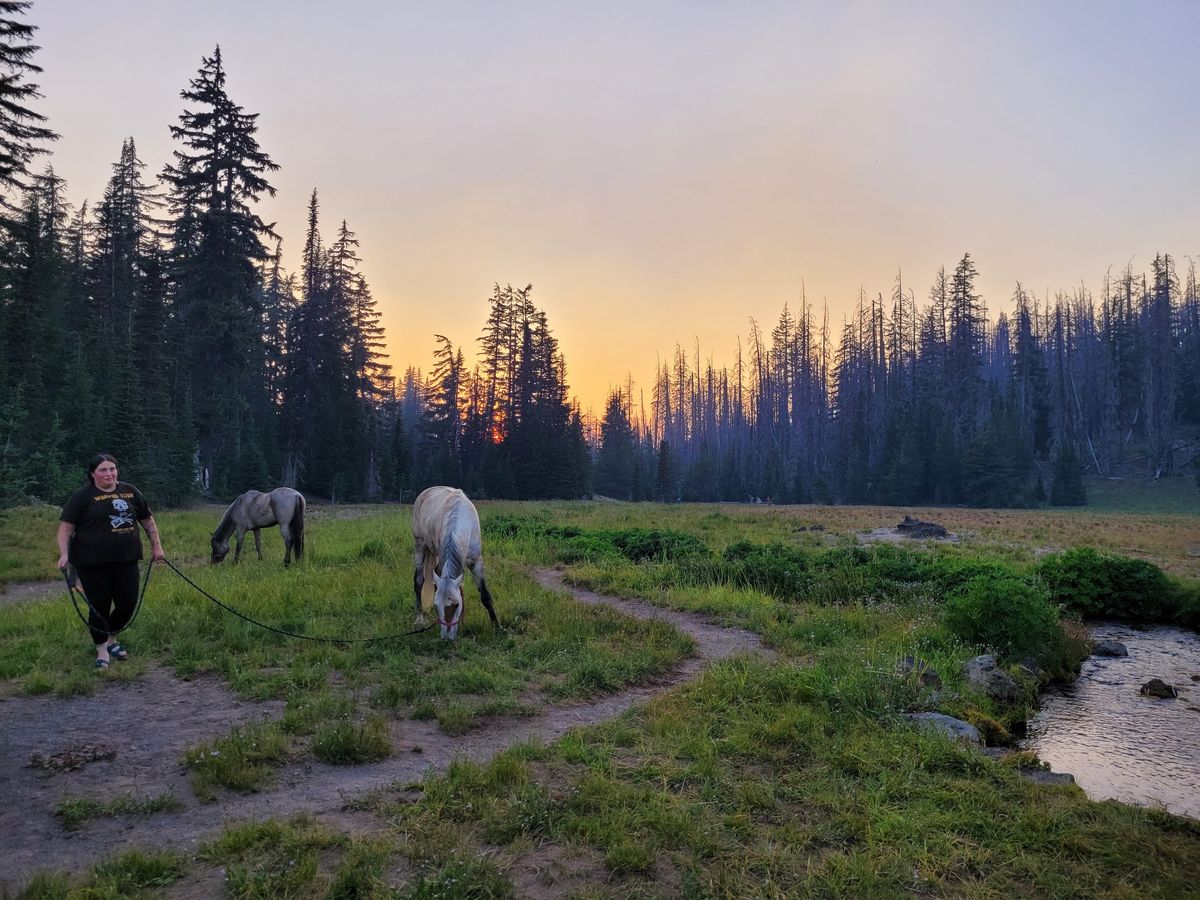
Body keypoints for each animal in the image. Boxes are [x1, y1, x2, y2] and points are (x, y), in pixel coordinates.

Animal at [412, 487, 496, 643]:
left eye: (456, 605)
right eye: (437, 606)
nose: (447, 639)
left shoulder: (476, 562)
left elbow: (485, 595)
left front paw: (497, 627)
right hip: (420, 545)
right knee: (419, 581)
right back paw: (419, 618)